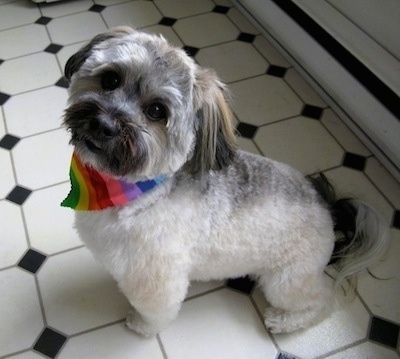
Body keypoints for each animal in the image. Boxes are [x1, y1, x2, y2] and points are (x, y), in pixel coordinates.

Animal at [62, 26, 390, 338]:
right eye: (110, 79)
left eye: (156, 111)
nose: (103, 125)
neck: (137, 191)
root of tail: (328, 209)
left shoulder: (157, 279)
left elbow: (154, 312)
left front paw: (140, 324)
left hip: (286, 279)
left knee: (322, 301)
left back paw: (284, 321)